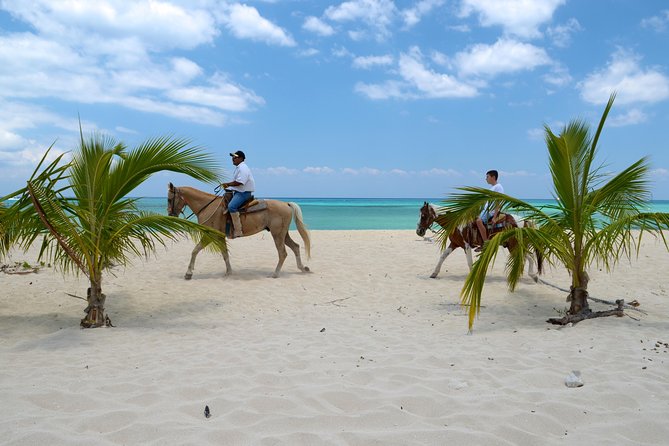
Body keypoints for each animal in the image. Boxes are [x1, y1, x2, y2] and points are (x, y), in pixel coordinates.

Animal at [168, 183, 312, 278]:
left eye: (169, 199)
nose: (170, 215)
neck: (208, 206)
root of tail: (286, 204)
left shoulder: (210, 235)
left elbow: (195, 250)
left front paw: (188, 273)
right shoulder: (219, 236)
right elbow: (225, 254)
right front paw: (229, 272)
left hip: (277, 235)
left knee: (283, 253)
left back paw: (275, 273)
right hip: (283, 234)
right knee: (296, 247)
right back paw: (302, 268)